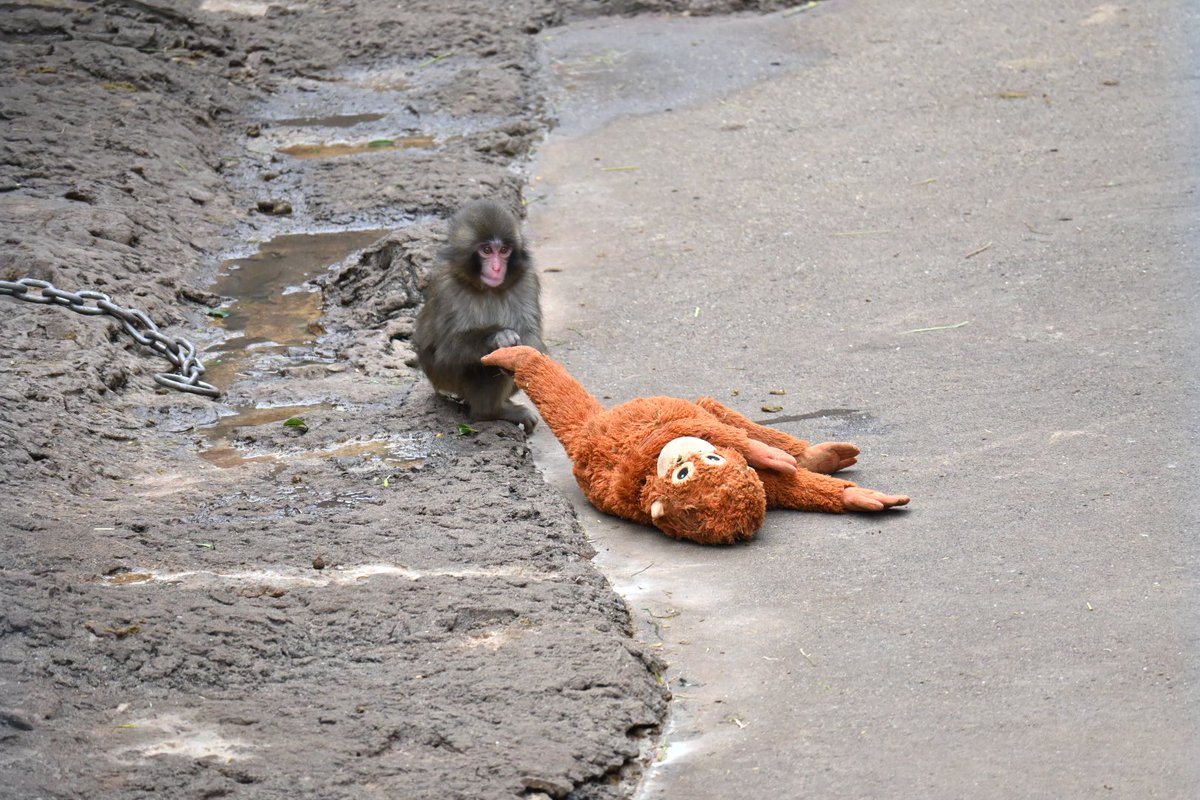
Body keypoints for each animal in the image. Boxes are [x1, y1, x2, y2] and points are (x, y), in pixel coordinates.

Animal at [413, 199, 545, 430]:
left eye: (504, 250)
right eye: (486, 250)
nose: (497, 268)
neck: (487, 288)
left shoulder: (527, 279)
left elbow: (531, 337)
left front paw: (521, 353)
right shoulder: (447, 286)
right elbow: (448, 350)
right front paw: (498, 336)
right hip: (444, 380)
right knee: (483, 364)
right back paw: (491, 412)